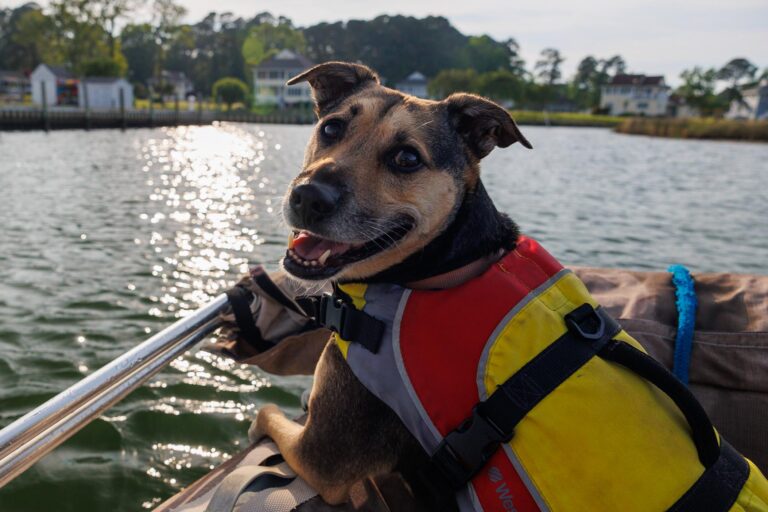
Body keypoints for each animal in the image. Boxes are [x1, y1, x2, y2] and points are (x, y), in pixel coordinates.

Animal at [249, 60, 532, 508]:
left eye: (407, 157)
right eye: (331, 128)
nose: (308, 197)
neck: (439, 265)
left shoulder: (321, 458)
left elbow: (266, 414)